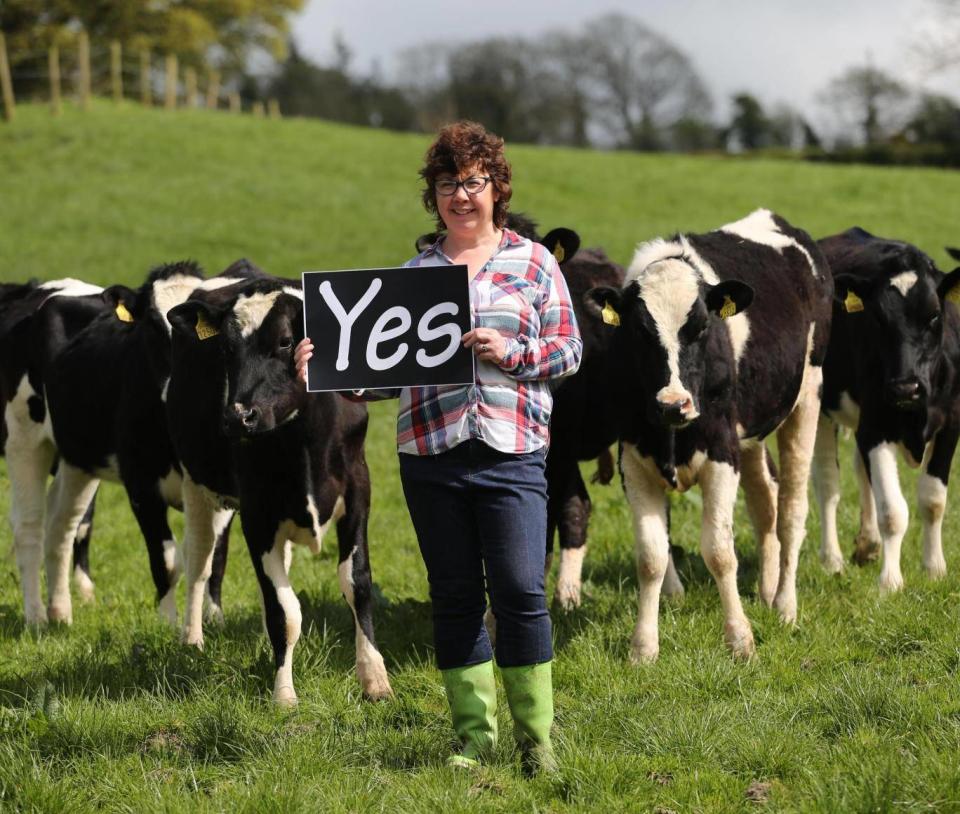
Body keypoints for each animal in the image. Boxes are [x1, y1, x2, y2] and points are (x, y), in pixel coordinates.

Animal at [167, 276, 392, 708]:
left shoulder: (360, 488)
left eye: (287, 341)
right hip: (196, 484)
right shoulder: (257, 513)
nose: (238, 417)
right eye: (226, 348)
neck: (305, 441)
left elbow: (356, 582)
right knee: (199, 562)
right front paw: (284, 693)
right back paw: (192, 640)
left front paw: (375, 679)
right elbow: (283, 611)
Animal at [584, 209, 832, 664]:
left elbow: (719, 551)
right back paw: (767, 589)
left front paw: (740, 640)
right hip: (750, 435)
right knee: (765, 504)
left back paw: (785, 605)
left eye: (700, 327)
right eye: (640, 332)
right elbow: (651, 556)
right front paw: (643, 647)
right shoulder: (634, 459)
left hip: (807, 398)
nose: (673, 404)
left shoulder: (720, 453)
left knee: (791, 511)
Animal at [808, 230, 960, 592]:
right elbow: (892, 510)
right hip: (821, 408)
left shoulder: (951, 425)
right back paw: (832, 560)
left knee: (860, 471)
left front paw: (935, 568)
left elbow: (933, 500)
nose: (905, 388)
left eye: (935, 315)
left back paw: (867, 544)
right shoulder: (876, 428)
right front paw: (890, 582)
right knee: (828, 482)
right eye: (877, 318)